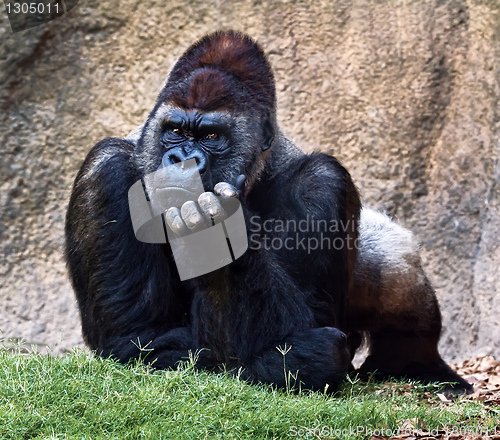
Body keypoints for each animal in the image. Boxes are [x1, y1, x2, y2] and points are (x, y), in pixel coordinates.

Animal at [66, 32, 472, 394]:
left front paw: (220, 236)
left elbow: (311, 317)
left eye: (211, 137)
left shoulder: (325, 181)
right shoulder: (106, 170)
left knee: (391, 260)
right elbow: (138, 337)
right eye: (175, 131)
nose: (180, 160)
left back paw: (420, 365)